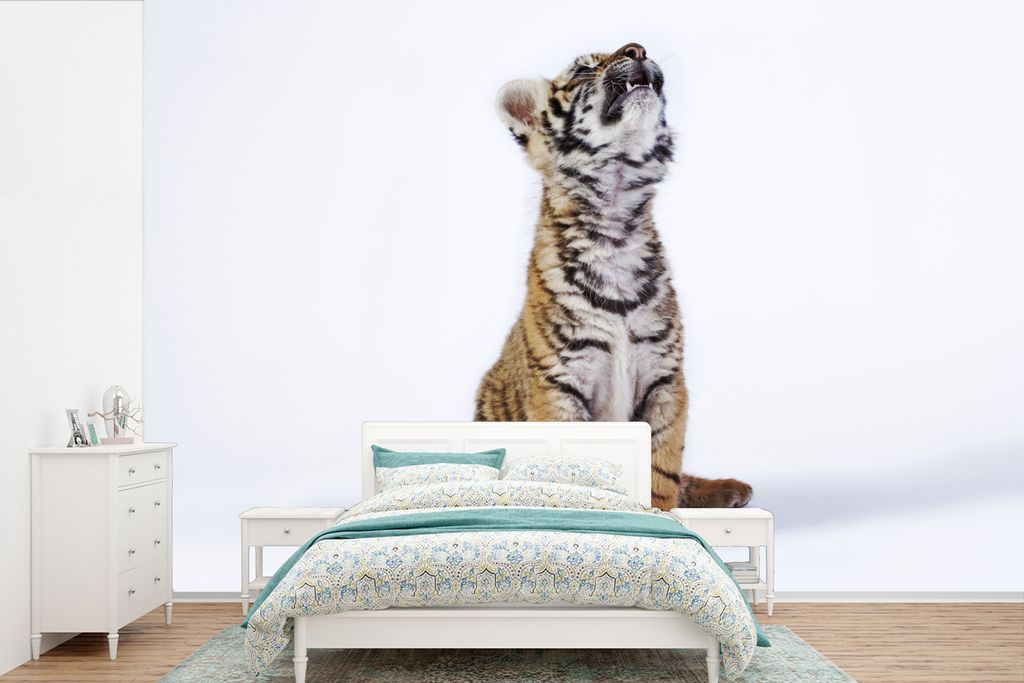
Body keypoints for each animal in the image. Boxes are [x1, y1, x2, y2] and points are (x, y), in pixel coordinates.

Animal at [474, 43, 752, 510]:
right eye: (583, 70)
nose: (637, 48)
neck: (615, 224)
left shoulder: (665, 379)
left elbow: (662, 470)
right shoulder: (559, 385)